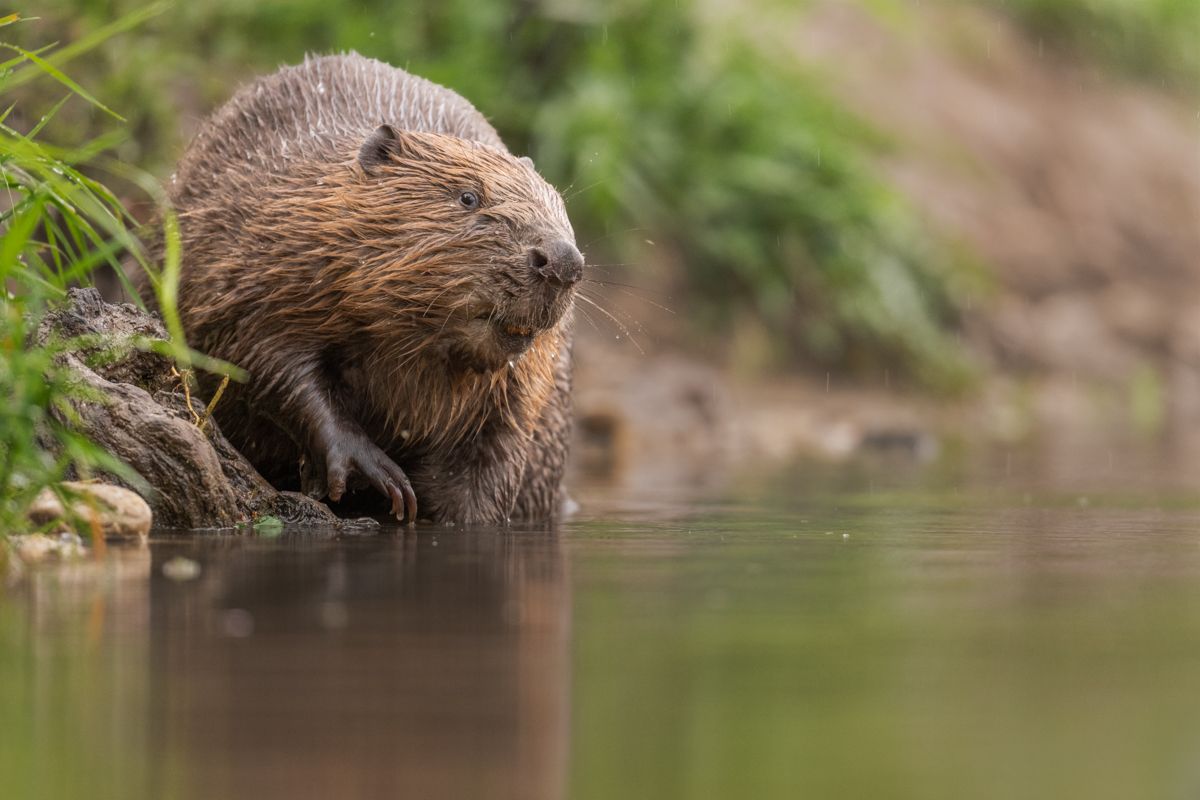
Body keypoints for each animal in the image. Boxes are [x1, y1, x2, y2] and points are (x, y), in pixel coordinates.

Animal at [150, 51, 580, 525]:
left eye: (558, 206)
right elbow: (260, 356)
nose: (563, 262)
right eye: (469, 197)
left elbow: (490, 461)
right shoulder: (260, 254)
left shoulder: (524, 385)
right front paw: (376, 474)